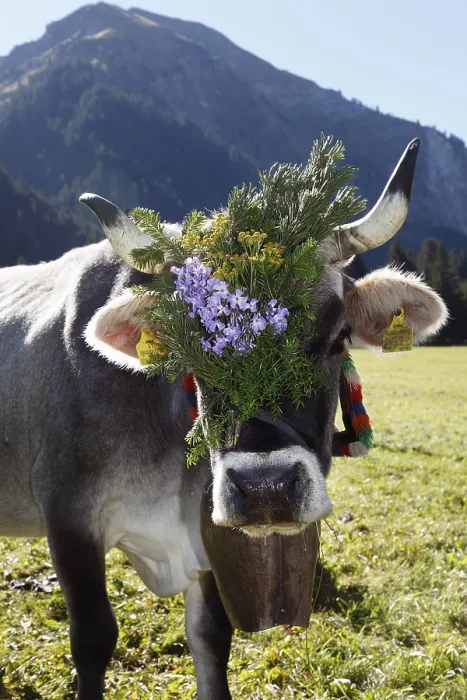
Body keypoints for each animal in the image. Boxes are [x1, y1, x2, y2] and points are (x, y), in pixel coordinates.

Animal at [0, 139, 447, 700]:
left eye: (339, 337)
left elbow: (211, 638)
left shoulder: (207, 540)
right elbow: (94, 637)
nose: (266, 488)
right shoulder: (67, 511)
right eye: (196, 346)